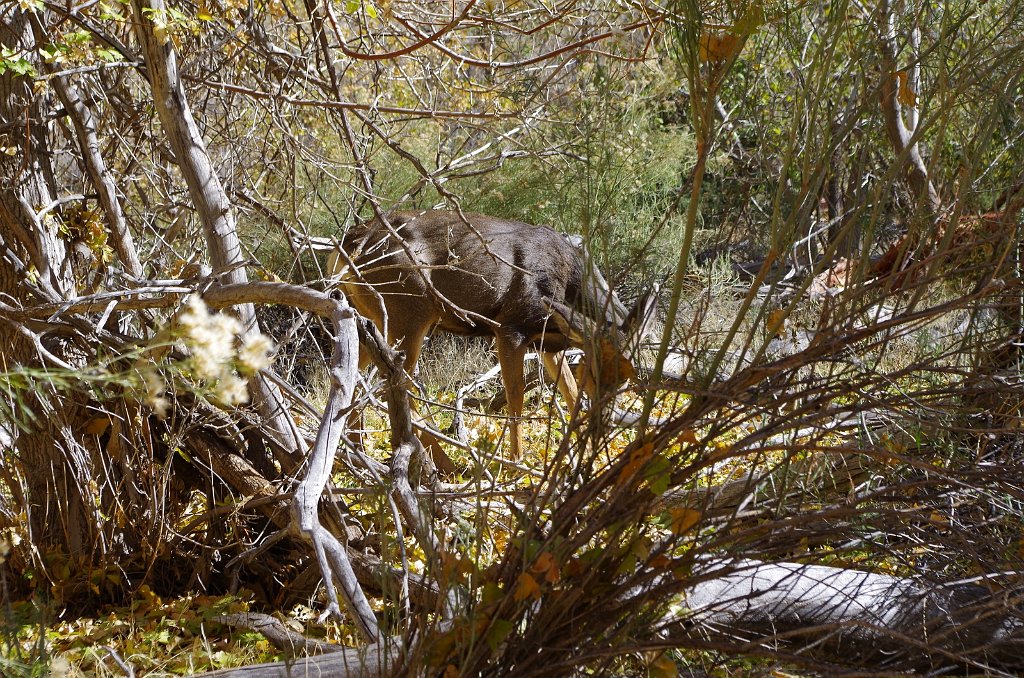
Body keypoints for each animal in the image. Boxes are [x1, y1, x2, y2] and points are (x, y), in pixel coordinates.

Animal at [333, 213, 655, 462]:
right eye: (593, 373)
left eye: (628, 377)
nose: (603, 425)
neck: (566, 279)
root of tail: (349, 244)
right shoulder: (510, 325)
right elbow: (516, 396)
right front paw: (516, 462)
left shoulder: (549, 341)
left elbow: (570, 391)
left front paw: (590, 456)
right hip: (409, 311)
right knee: (398, 386)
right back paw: (441, 462)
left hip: (375, 318)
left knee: (357, 378)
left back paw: (358, 451)